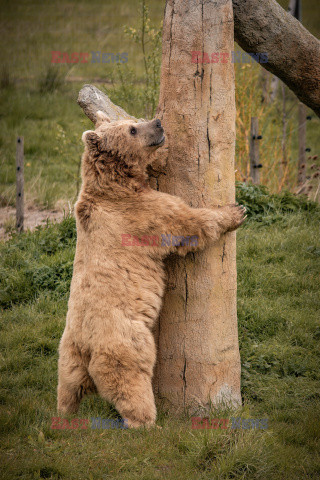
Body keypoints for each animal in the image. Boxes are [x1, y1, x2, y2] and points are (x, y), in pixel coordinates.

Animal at [57, 112, 246, 428]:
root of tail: (86, 347)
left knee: (67, 386)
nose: (158, 123)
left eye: (135, 119)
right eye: (132, 129)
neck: (118, 183)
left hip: (67, 354)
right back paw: (147, 423)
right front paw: (235, 211)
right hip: (125, 343)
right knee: (130, 383)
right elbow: (186, 223)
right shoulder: (141, 213)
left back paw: (64, 414)